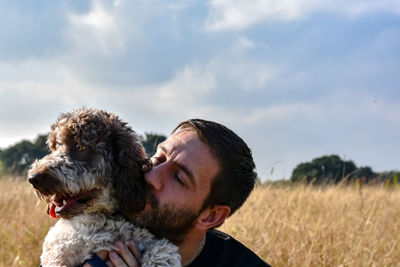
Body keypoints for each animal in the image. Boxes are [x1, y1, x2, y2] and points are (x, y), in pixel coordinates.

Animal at [28, 108, 182, 267]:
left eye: (79, 146)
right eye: (55, 147)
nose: (33, 178)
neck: (103, 219)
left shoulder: (151, 242)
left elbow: (163, 251)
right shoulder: (57, 248)